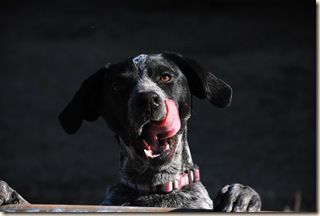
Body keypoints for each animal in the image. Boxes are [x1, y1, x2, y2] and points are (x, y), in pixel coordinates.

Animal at [0, 52, 262, 211]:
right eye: (117, 86)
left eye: (165, 76)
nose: (147, 99)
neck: (156, 187)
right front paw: (7, 192)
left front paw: (242, 196)